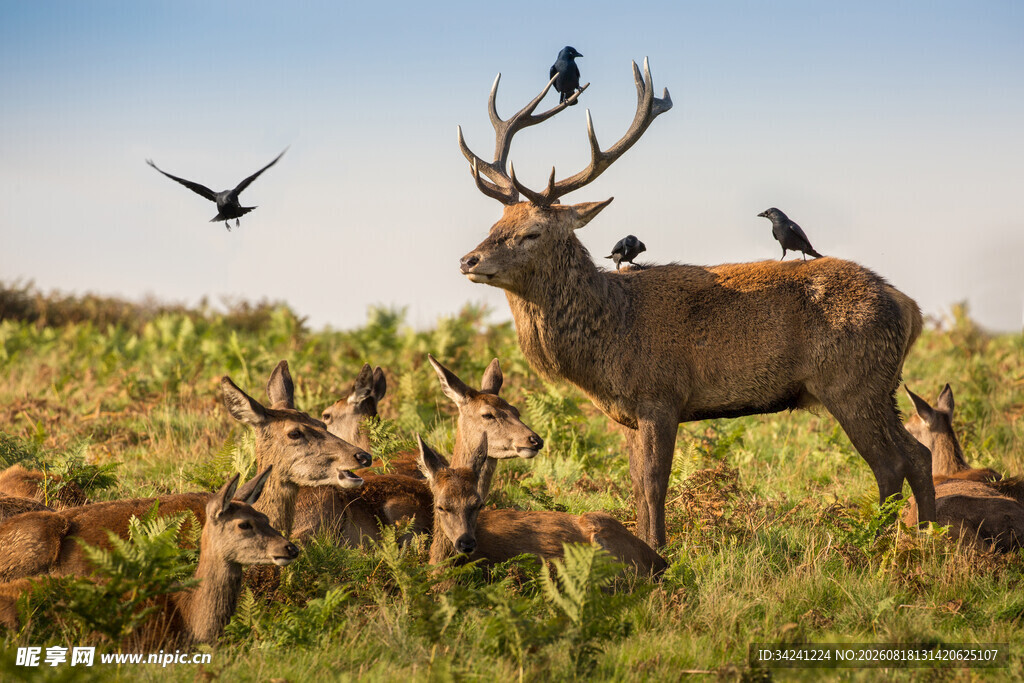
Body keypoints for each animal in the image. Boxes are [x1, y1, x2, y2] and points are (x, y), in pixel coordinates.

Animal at [455, 57, 936, 546]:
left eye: (532, 232)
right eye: (496, 223)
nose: (468, 259)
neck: (608, 336)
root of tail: (908, 307)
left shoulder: (661, 396)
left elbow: (654, 484)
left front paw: (658, 551)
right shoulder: (627, 415)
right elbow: (635, 485)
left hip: (852, 381)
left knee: (890, 462)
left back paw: (881, 541)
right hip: (880, 384)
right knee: (918, 453)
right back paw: (931, 534)